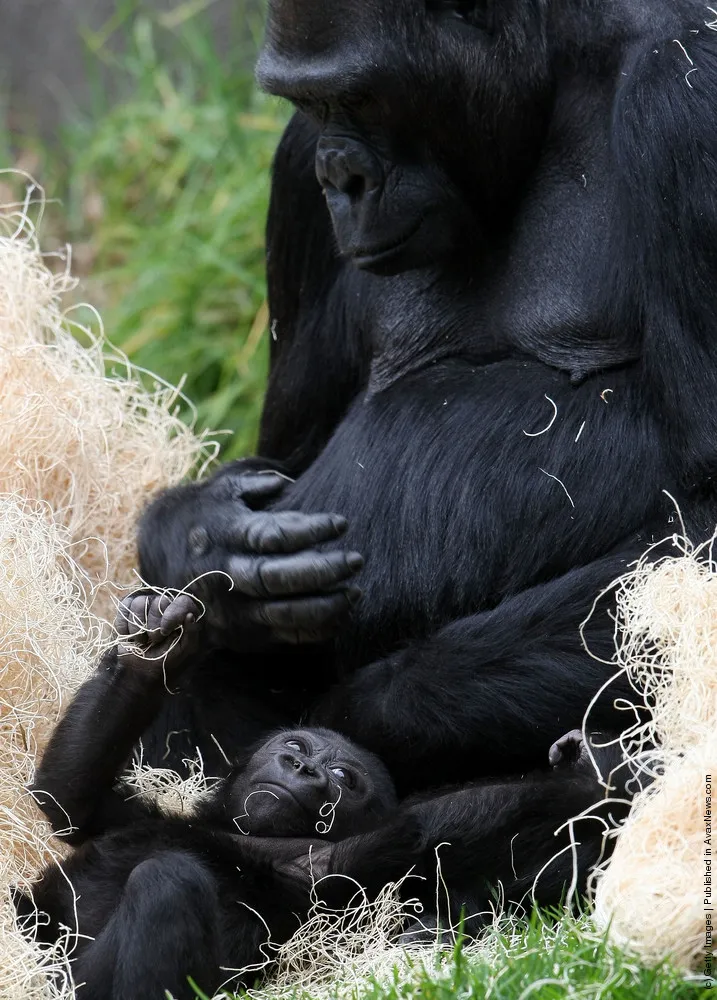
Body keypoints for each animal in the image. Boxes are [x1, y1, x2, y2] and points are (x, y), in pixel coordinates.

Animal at [26, 592, 398, 1000]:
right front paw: (152, 658)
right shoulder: (133, 815)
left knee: (170, 881)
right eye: (296, 745)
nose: (301, 766)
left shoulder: (342, 864)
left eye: (343, 776)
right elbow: (67, 800)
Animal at [137, 1, 716, 796]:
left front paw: (365, 712)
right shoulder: (293, 175)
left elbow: (699, 524)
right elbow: (285, 457)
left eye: (361, 97)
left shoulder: (684, 93)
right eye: (309, 104)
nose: (340, 175)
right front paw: (201, 541)